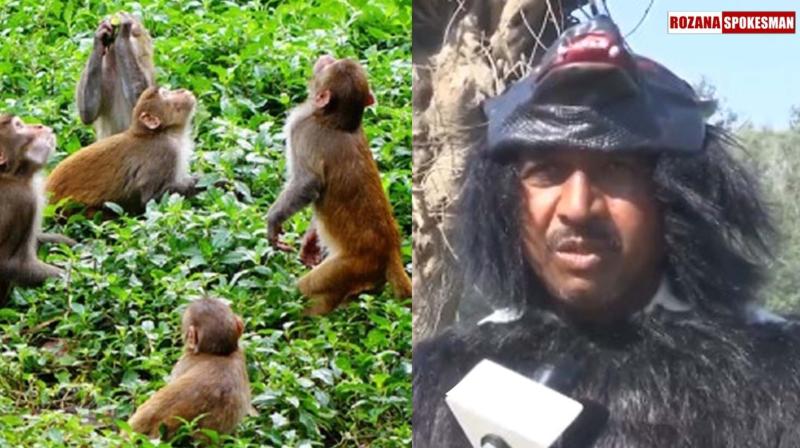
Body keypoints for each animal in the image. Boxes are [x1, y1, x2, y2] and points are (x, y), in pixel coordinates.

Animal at [46, 86, 198, 215]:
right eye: (166, 94)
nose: (181, 90)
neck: (160, 133)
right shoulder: (164, 152)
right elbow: (151, 199)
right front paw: (198, 183)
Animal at [76, 12, 156, 141]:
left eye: (134, 30)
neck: (117, 69)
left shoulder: (146, 65)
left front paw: (123, 34)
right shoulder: (105, 74)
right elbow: (88, 112)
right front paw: (100, 36)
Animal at [266, 55, 412, 316]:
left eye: (330, 66)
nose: (328, 57)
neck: (335, 122)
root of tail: (391, 250)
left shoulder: (302, 130)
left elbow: (308, 183)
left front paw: (273, 222)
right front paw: (310, 243)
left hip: (350, 267)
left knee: (307, 290)